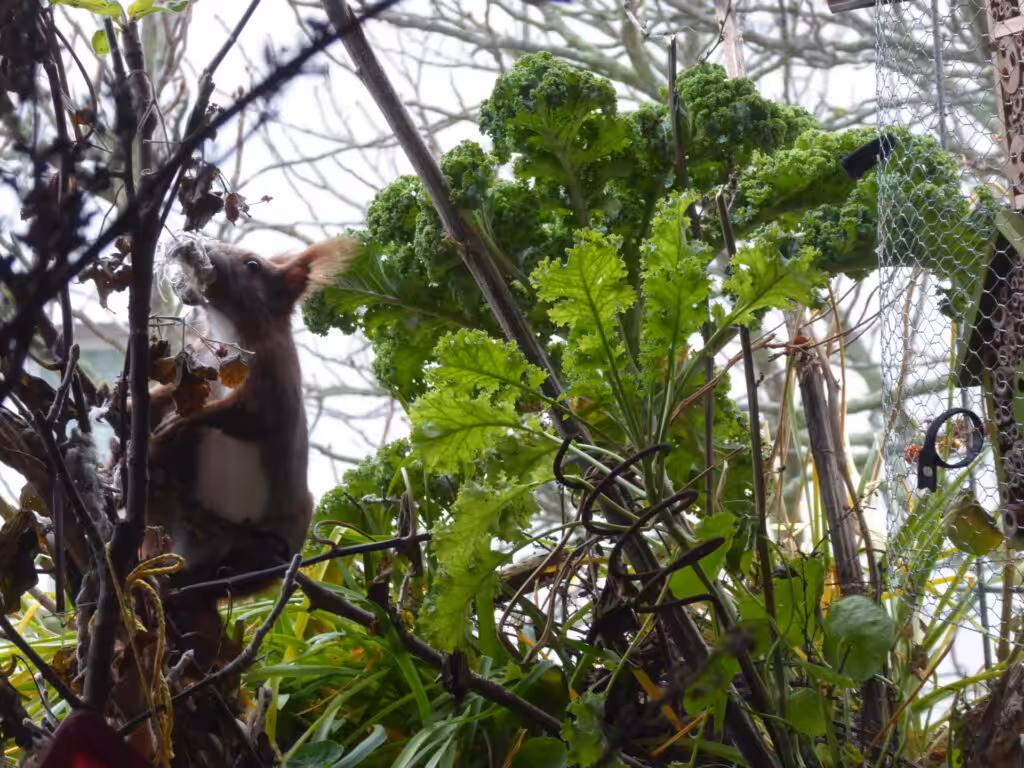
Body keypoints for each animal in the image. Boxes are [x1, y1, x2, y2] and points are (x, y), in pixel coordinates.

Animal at [141, 235, 355, 653]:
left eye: (253, 264)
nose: (195, 248)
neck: (226, 332)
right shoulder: (199, 366)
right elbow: (169, 393)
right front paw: (131, 404)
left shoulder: (271, 385)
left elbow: (236, 418)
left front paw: (171, 425)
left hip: (265, 549)